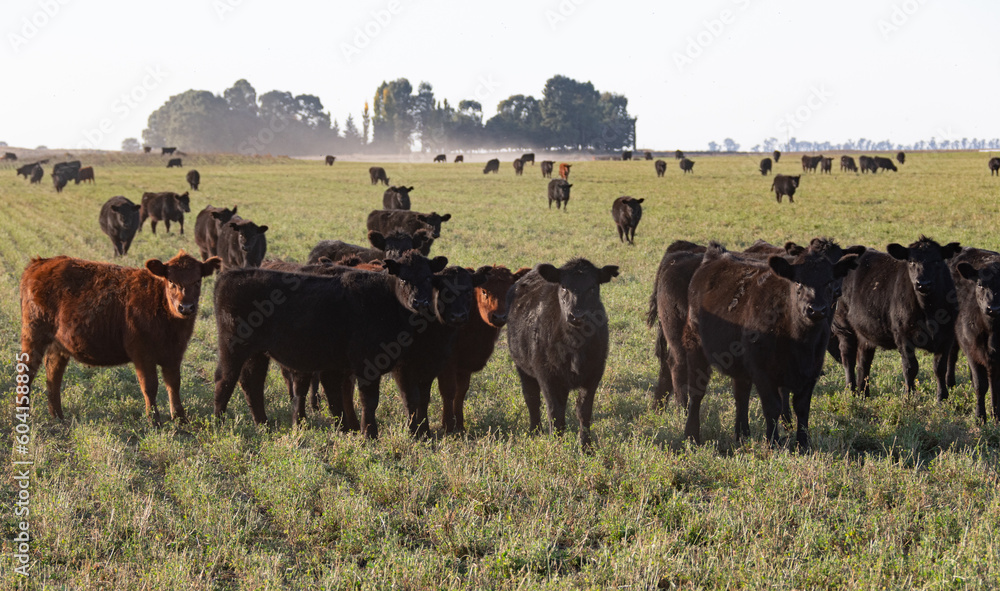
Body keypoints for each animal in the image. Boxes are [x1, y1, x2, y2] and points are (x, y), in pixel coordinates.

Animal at [17, 252, 221, 424]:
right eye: (171, 280)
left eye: (197, 281)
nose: (185, 307)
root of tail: (41, 262)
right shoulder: (142, 353)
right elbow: (150, 386)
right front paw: (154, 421)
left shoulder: (175, 354)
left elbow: (174, 384)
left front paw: (180, 419)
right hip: (33, 333)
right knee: (27, 370)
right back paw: (23, 413)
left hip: (59, 344)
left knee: (53, 373)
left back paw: (58, 416)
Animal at [508, 258, 616, 448]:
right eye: (564, 287)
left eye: (593, 287)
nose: (577, 316)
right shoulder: (546, 375)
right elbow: (554, 412)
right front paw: (556, 445)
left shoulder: (594, 374)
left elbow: (583, 411)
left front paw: (586, 446)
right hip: (522, 367)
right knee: (532, 399)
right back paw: (535, 431)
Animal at [832, 238, 964, 400]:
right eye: (911, 261)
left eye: (937, 260)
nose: (923, 284)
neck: (928, 309)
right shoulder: (903, 336)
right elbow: (910, 367)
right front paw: (909, 396)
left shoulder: (947, 337)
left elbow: (940, 367)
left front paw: (942, 397)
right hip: (844, 327)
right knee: (848, 359)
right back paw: (850, 391)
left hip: (865, 333)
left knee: (863, 362)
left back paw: (864, 394)